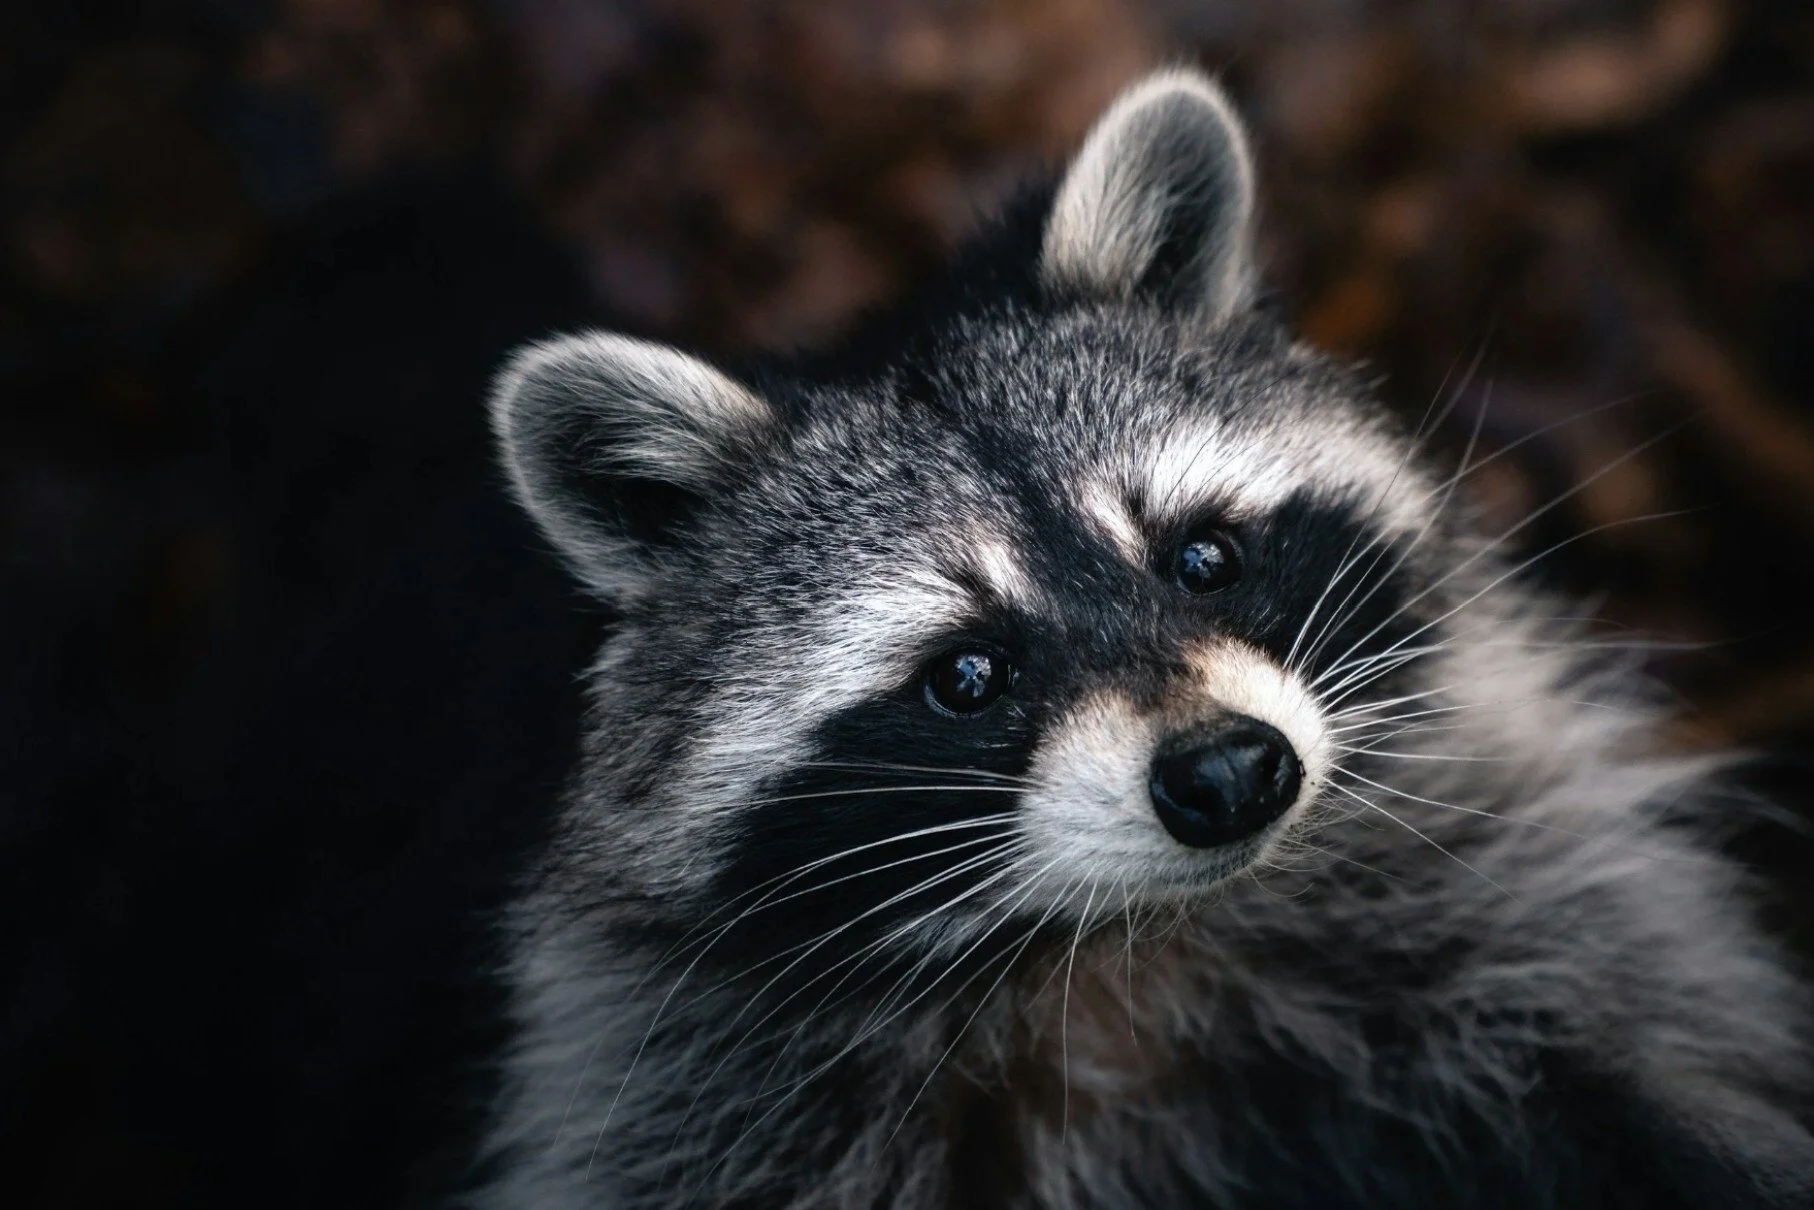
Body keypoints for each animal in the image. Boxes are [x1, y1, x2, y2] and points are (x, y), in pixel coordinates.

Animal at [471, 70, 1814, 1208]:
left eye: (1202, 557)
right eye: (966, 674)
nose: (1228, 773)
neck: (1125, 935)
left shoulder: (1517, 902)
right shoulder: (696, 1096)